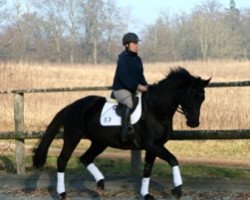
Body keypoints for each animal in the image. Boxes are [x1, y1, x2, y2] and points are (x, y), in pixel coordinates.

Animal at [32, 67, 210, 200]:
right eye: (191, 95)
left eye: (202, 98)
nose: (194, 123)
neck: (157, 108)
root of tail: (72, 106)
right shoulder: (153, 145)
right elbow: (173, 160)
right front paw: (177, 190)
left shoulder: (153, 147)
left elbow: (148, 169)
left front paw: (146, 194)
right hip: (73, 137)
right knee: (63, 160)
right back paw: (62, 193)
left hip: (99, 142)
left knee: (85, 158)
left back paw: (101, 184)